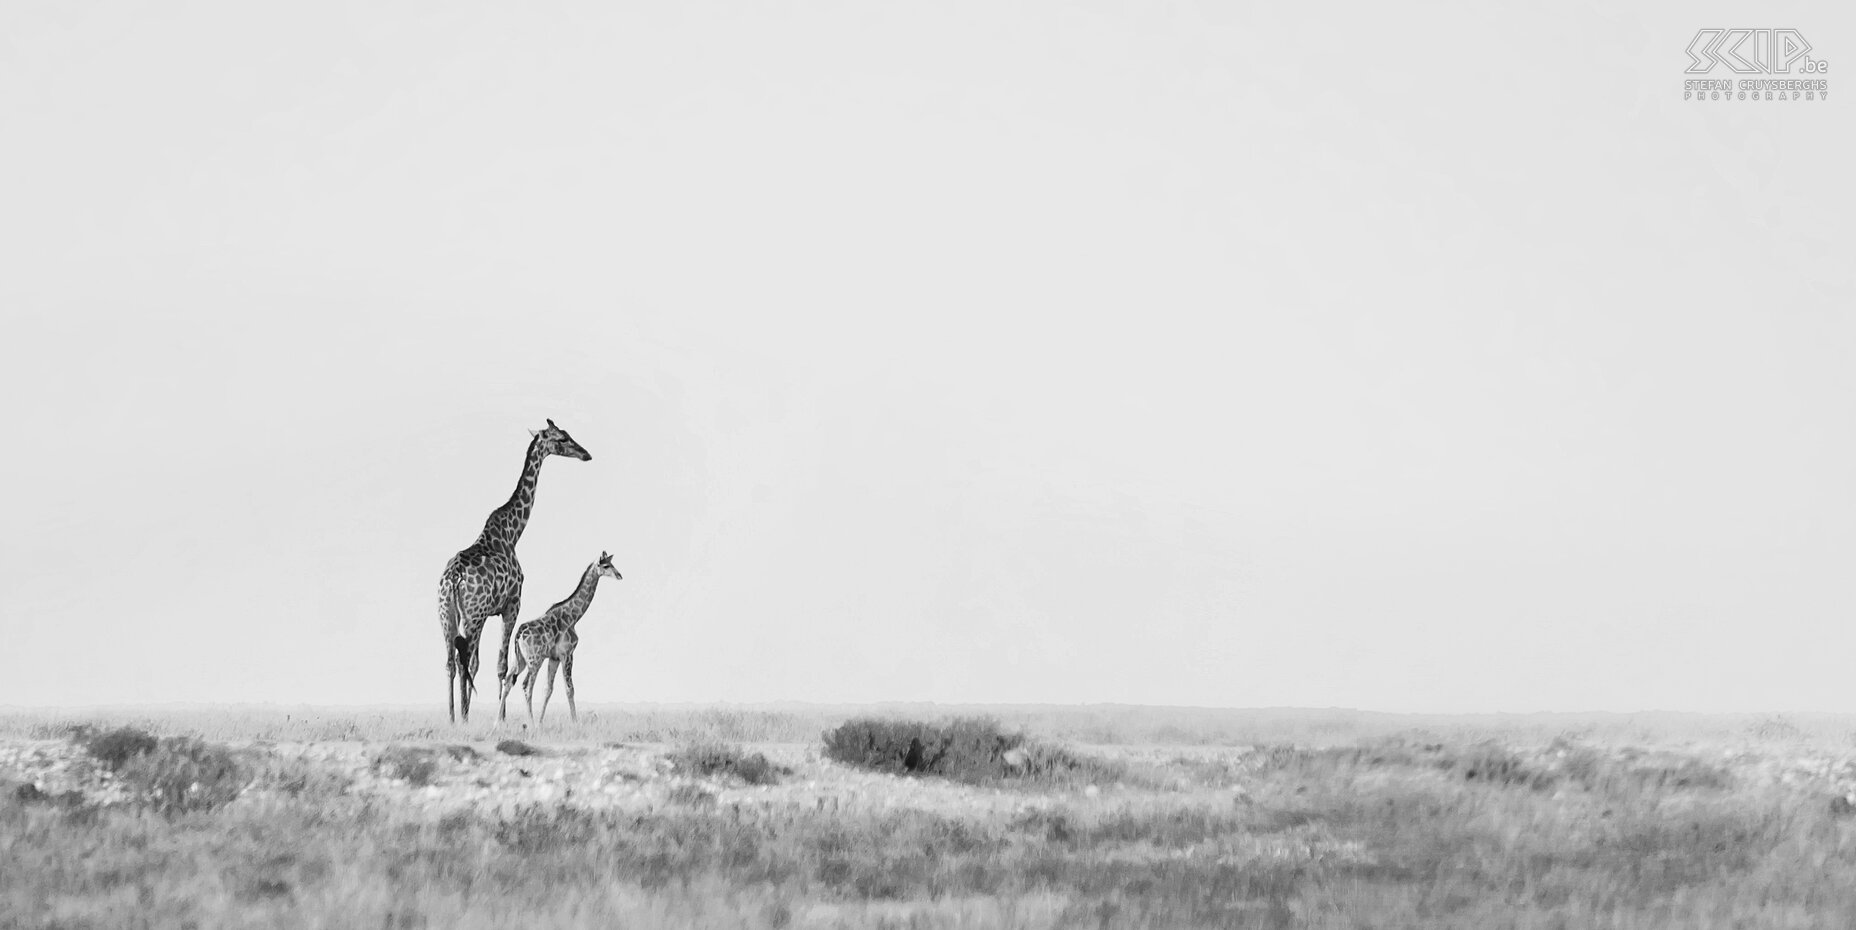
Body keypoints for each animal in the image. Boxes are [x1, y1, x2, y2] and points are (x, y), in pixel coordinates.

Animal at [436, 417, 586, 720]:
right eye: (562, 438)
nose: (585, 453)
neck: (512, 533)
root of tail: (454, 578)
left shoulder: (489, 612)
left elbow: (486, 664)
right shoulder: (511, 605)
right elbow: (501, 666)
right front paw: (502, 719)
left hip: (446, 615)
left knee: (450, 662)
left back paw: (453, 718)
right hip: (473, 616)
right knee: (463, 660)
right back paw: (464, 718)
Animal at [501, 549, 623, 723]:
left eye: (612, 563)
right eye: (606, 565)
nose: (619, 575)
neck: (574, 617)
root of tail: (518, 635)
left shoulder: (554, 657)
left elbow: (548, 689)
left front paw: (541, 723)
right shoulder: (567, 654)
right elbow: (569, 689)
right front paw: (575, 722)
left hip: (518, 660)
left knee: (507, 683)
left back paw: (497, 724)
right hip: (534, 660)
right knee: (526, 686)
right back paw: (530, 723)